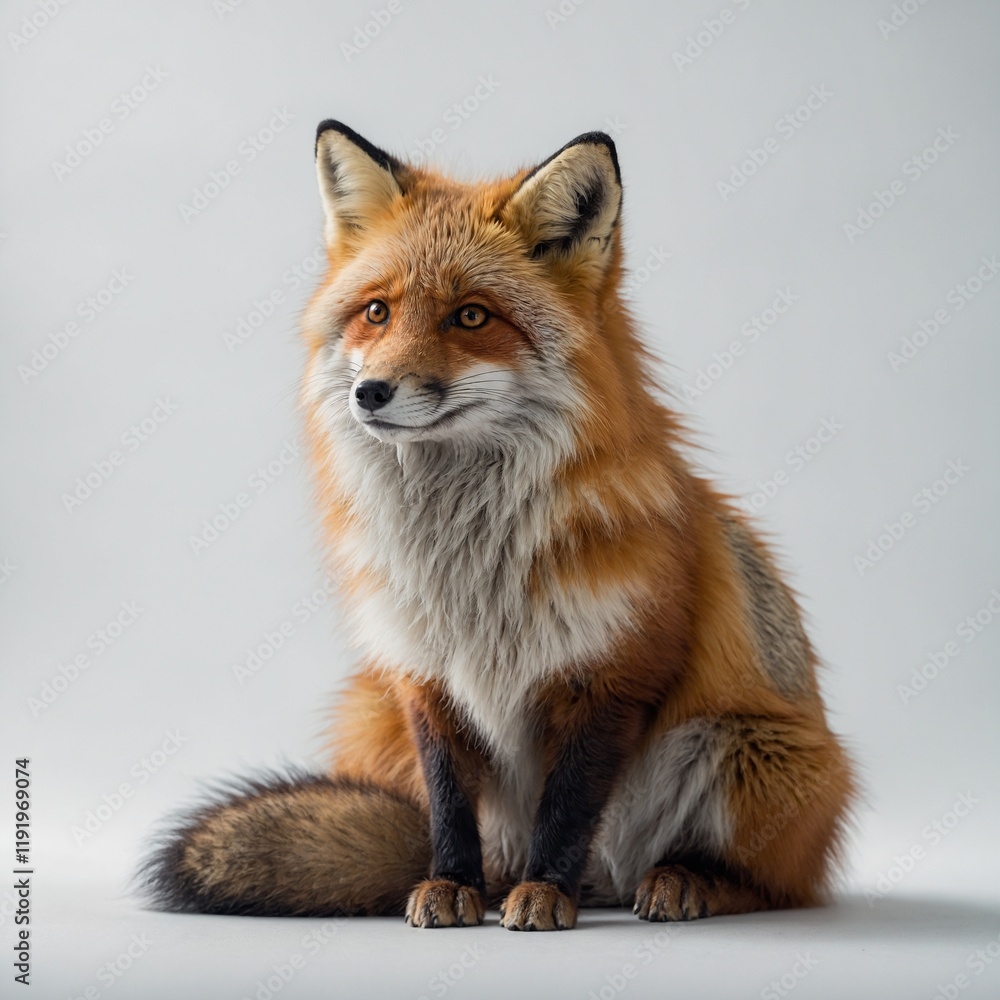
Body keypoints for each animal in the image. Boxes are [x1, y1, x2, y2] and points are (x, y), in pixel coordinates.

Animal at [141, 121, 855, 930]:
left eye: (472, 316)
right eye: (377, 312)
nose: (370, 392)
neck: (469, 561)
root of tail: (609, 882)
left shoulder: (612, 677)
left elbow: (568, 810)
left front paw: (544, 892)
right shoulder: (422, 678)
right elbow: (450, 806)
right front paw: (452, 886)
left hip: (749, 752)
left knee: (771, 884)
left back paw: (683, 880)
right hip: (368, 712)